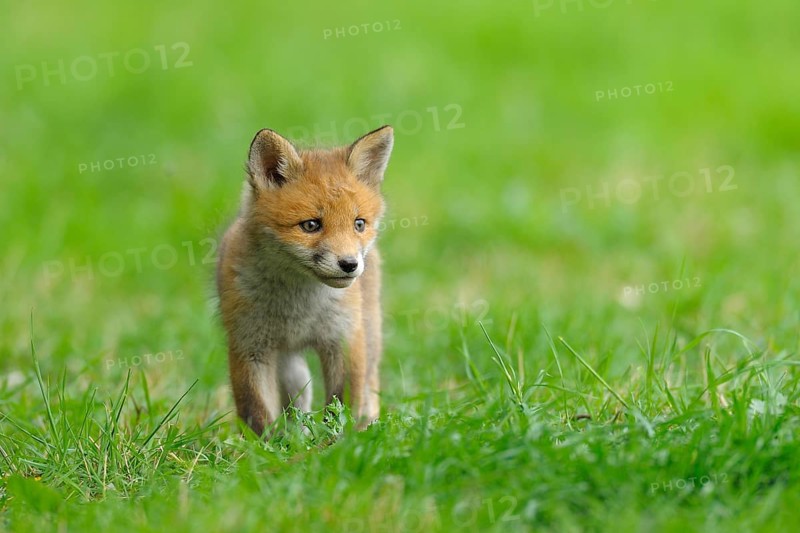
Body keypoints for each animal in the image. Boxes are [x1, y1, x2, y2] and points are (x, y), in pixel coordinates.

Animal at [216, 125, 394, 436]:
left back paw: (367, 425)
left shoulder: (343, 338)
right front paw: (266, 447)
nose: (350, 265)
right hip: (290, 366)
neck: (298, 305)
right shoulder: (249, 345)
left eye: (359, 224)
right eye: (311, 225)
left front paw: (340, 439)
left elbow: (342, 405)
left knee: (370, 384)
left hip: (369, 334)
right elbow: (257, 412)